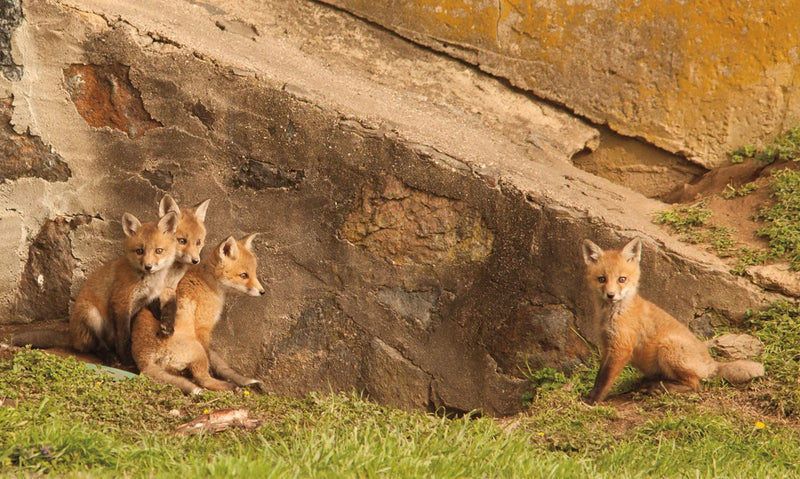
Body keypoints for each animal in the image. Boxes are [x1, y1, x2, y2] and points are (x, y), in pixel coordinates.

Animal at [68, 211, 179, 366]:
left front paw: (167, 325)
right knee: (97, 346)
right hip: (92, 316)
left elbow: (160, 310)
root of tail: (72, 338)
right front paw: (127, 360)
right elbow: (124, 336)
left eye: (159, 251)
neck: (147, 282)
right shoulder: (122, 302)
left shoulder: (149, 297)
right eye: (140, 251)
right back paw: (110, 358)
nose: (148, 266)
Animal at [131, 234, 265, 394]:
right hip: (198, 350)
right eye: (244, 275)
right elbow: (207, 367)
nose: (263, 292)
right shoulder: (203, 328)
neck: (208, 284)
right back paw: (230, 387)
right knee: (203, 379)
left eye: (254, 273)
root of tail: (143, 361)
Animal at [581, 237, 764, 404]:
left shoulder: (621, 348)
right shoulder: (607, 346)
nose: (610, 295)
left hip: (667, 347)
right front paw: (590, 397)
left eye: (622, 279)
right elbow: (599, 377)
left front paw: (593, 401)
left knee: (696, 385)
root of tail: (710, 363)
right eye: (602, 279)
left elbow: (605, 380)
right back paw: (648, 384)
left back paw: (659, 388)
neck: (614, 314)